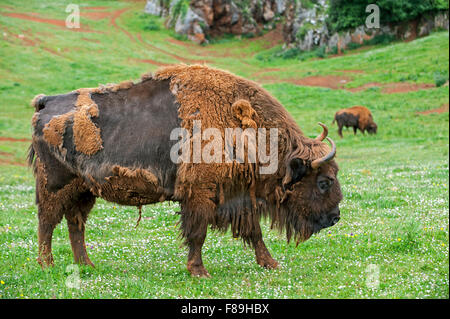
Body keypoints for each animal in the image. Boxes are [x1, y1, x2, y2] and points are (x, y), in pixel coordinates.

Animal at [28, 64, 342, 278]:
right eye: (324, 181)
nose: (335, 217)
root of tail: (45, 103)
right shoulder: (200, 195)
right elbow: (197, 233)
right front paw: (199, 271)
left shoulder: (238, 195)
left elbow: (254, 232)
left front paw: (271, 263)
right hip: (55, 185)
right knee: (48, 221)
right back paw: (47, 264)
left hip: (84, 190)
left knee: (75, 223)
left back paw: (86, 264)